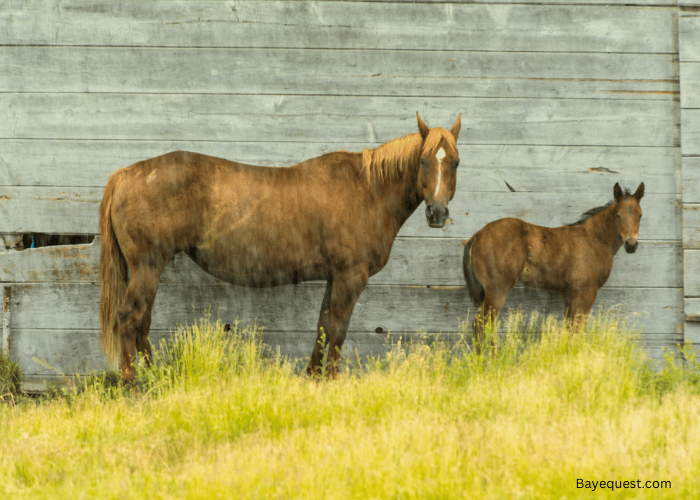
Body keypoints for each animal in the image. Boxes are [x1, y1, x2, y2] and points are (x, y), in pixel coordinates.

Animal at [98, 112, 460, 378]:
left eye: (455, 162)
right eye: (424, 160)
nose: (437, 213)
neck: (368, 190)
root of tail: (125, 174)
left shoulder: (335, 276)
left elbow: (323, 325)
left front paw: (313, 378)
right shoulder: (350, 275)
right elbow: (338, 328)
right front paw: (330, 380)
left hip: (146, 269)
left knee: (142, 322)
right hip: (148, 266)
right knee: (129, 318)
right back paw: (134, 385)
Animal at [464, 181, 644, 352]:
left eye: (640, 215)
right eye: (618, 215)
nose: (631, 245)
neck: (594, 240)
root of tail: (476, 236)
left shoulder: (571, 294)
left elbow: (569, 329)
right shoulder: (586, 291)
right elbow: (578, 330)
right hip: (498, 289)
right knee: (481, 325)